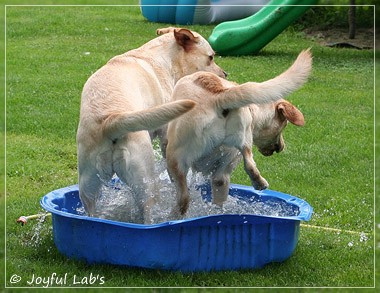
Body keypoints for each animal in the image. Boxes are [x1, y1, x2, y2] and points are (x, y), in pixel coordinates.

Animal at [77, 28, 226, 224]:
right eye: (210, 57)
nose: (225, 74)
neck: (159, 58)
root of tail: (110, 121)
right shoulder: (165, 137)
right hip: (146, 182)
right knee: (148, 216)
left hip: (88, 187)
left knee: (91, 212)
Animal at [166, 49, 312, 216]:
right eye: (284, 125)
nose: (281, 147)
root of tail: (219, 96)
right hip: (237, 147)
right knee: (248, 165)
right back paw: (259, 184)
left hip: (174, 158)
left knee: (183, 198)